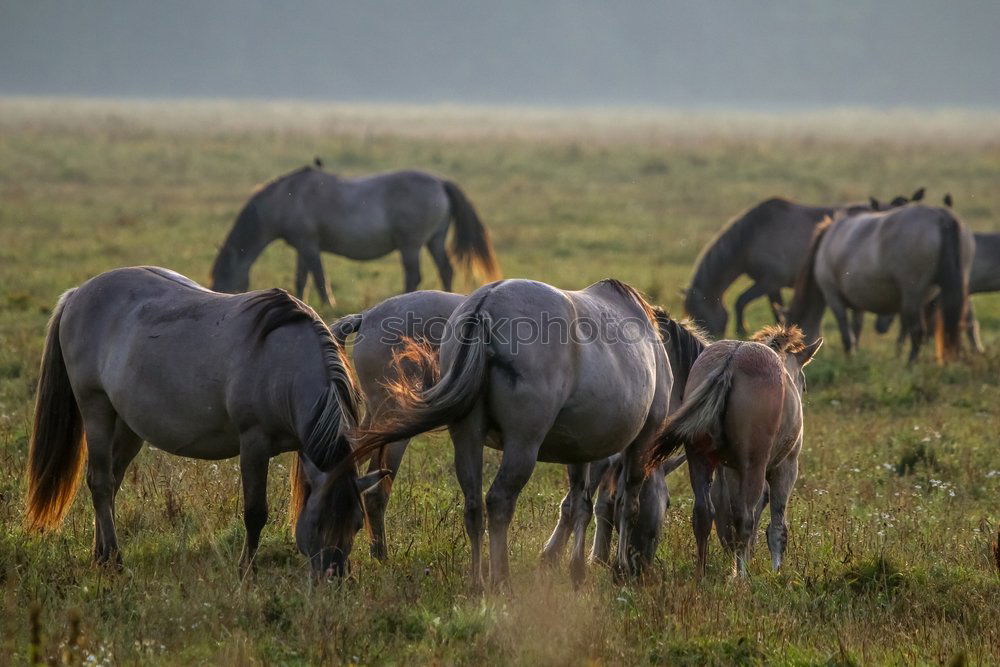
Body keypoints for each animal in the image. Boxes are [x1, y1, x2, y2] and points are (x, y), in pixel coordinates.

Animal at [24, 268, 382, 576]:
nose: (335, 578)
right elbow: (255, 512)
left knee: (112, 480)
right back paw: (114, 559)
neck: (286, 365)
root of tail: (77, 294)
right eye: (319, 522)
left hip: (127, 425)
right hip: (95, 409)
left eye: (357, 523)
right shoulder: (254, 444)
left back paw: (101, 556)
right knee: (100, 482)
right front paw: (245, 571)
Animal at [209, 164, 498, 306]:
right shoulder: (302, 247)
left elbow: (319, 277)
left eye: (224, 274)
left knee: (413, 275)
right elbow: (302, 279)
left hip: (411, 245)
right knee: (445, 270)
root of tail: (440, 182)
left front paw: (329, 306)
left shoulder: (310, 246)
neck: (287, 198)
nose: (219, 299)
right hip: (434, 241)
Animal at [684, 192, 924, 340]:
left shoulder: (769, 281)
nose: (709, 339)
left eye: (699, 313)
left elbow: (740, 301)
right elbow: (776, 309)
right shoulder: (772, 286)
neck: (752, 235)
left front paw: (742, 331)